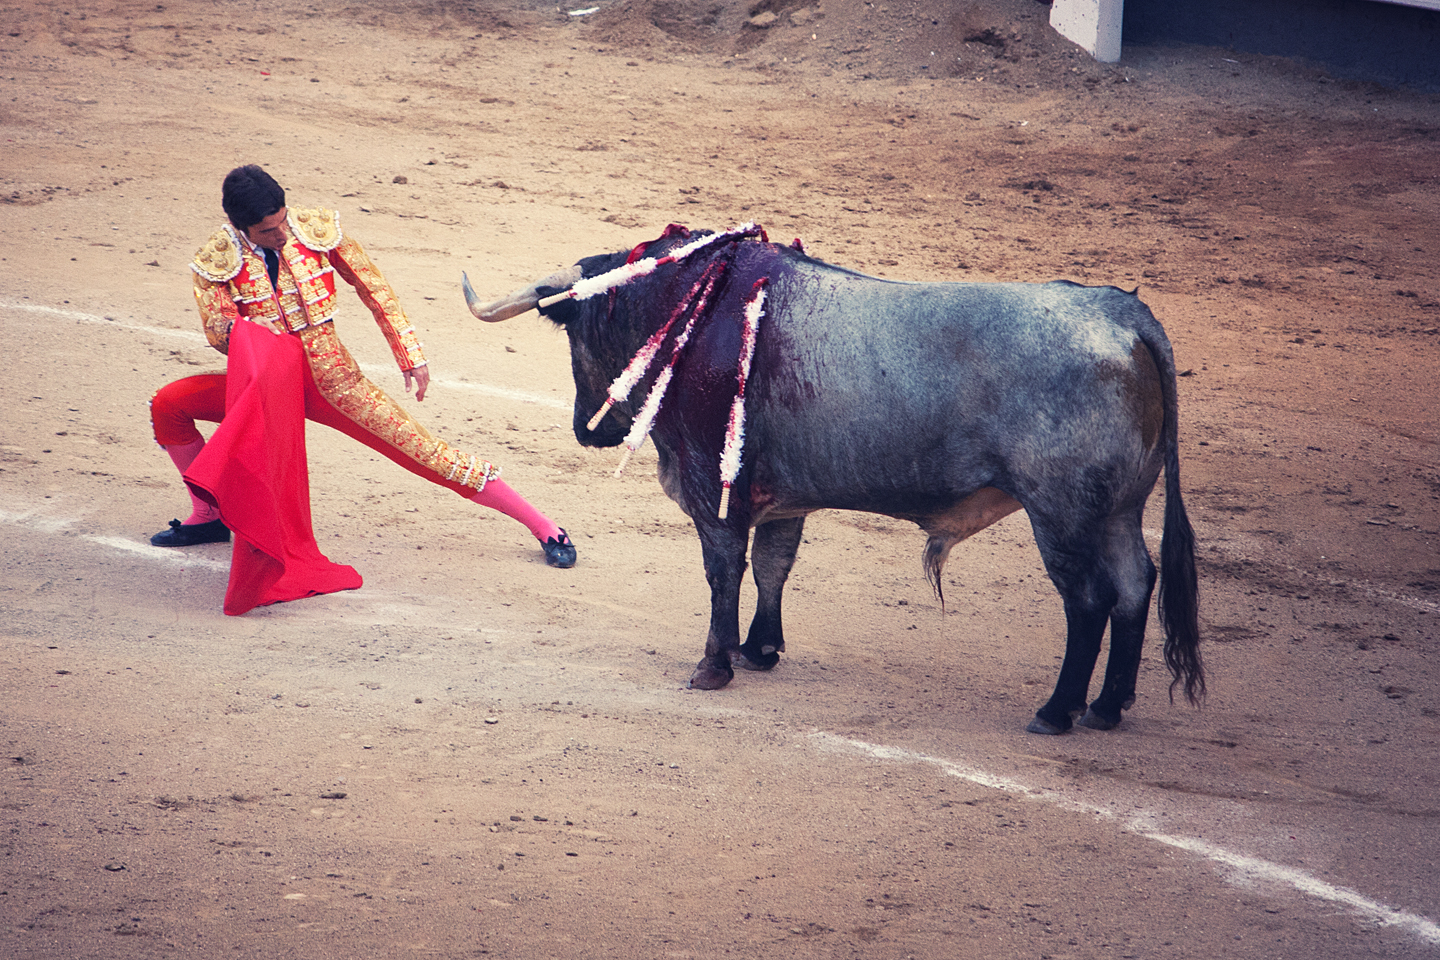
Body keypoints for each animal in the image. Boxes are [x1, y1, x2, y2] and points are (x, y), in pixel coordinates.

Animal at [463, 227, 1203, 736]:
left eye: (577, 333)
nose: (589, 431)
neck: (698, 308)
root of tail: (1125, 317)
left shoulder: (713, 489)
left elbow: (724, 570)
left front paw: (713, 666)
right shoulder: (778, 497)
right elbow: (774, 565)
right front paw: (758, 650)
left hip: (1061, 514)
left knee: (1088, 600)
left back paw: (1057, 710)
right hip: (1118, 510)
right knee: (1135, 584)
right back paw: (1107, 707)